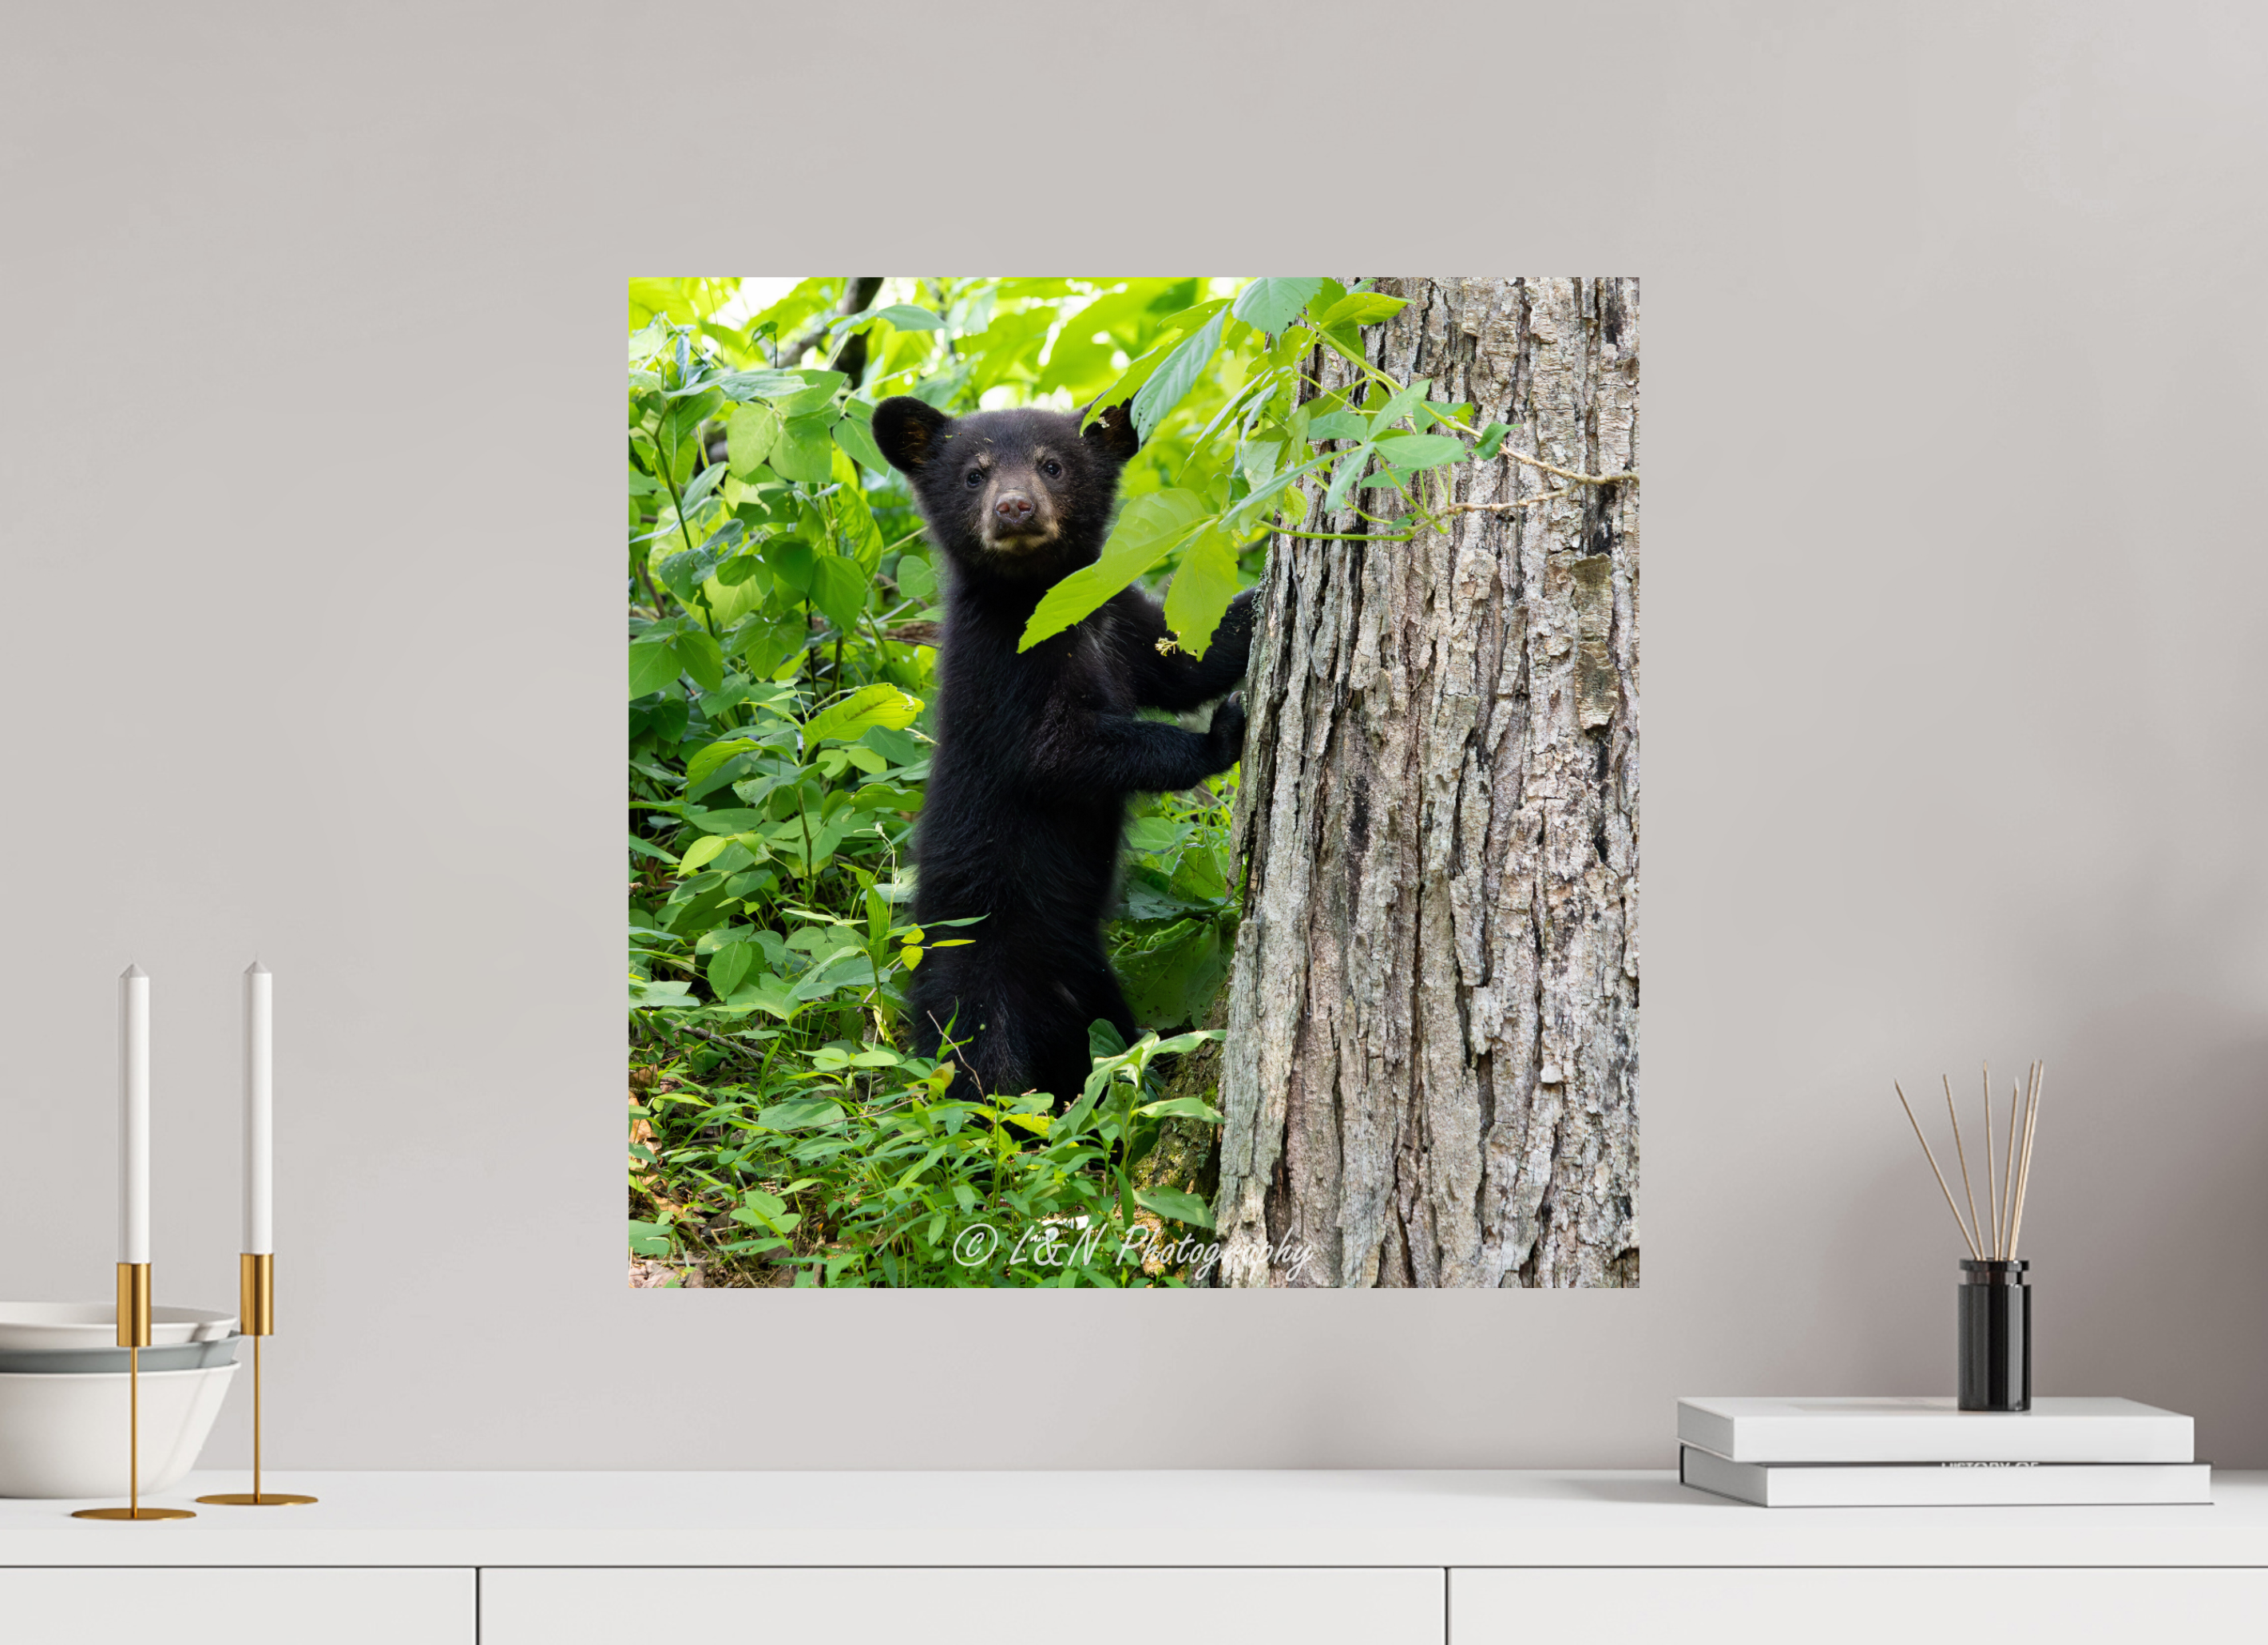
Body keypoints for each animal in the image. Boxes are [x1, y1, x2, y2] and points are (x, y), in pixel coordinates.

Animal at [872, 394, 1254, 1108]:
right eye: (975, 475)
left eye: (1052, 465)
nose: (1014, 508)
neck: (1045, 599)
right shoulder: (1000, 666)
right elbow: (1054, 753)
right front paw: (1219, 737)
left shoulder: (1118, 618)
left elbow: (1188, 655)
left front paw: (1263, 594)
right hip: (972, 971)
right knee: (972, 1063)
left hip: (1092, 985)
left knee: (1106, 1041)